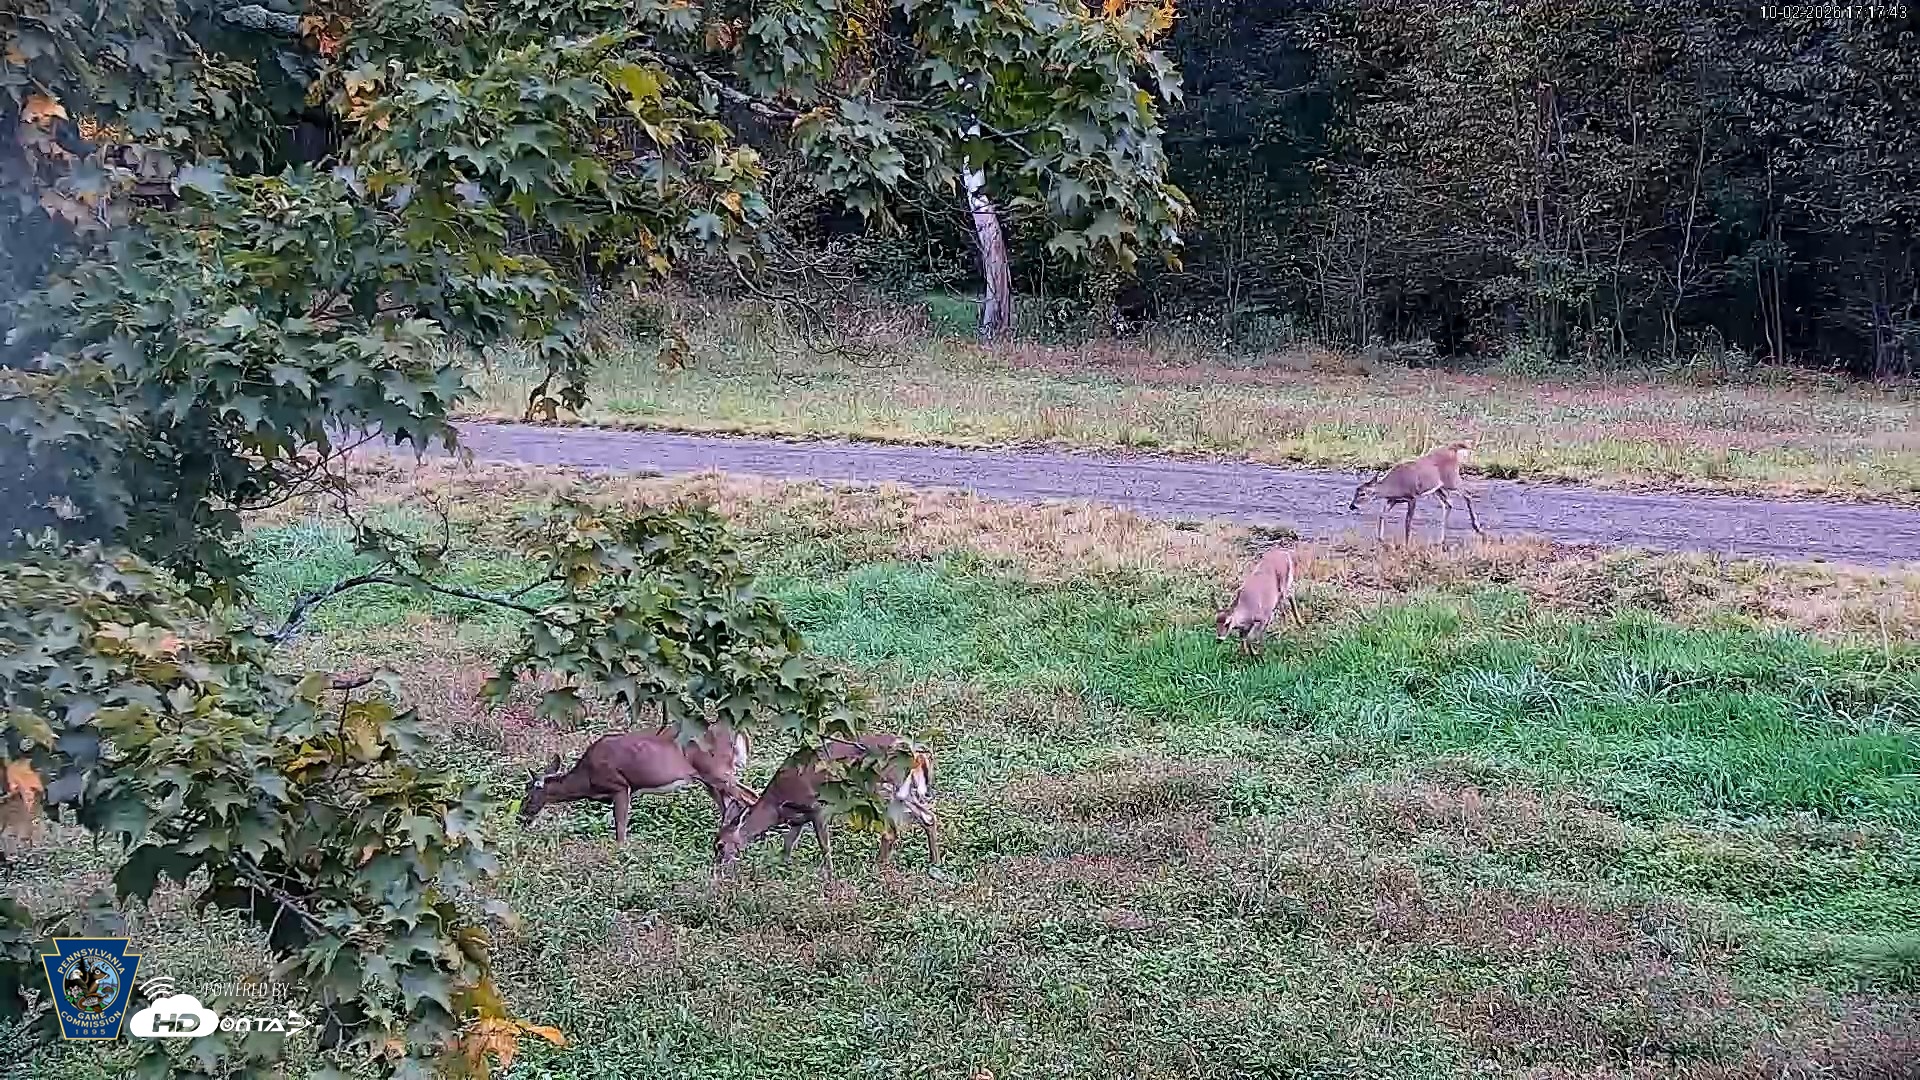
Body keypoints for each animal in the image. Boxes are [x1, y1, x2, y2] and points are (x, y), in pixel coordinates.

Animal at [518, 723, 757, 845]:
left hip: (717, 771)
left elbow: (621, 828)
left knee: (750, 797)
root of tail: (737, 733)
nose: (521, 817)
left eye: (527, 795)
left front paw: (621, 853)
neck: (587, 779)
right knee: (731, 806)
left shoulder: (620, 786)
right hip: (709, 779)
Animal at [713, 734, 938, 878]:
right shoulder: (798, 819)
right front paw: (782, 868)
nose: (717, 870)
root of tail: (917, 756)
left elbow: (825, 846)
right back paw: (934, 863)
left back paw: (878, 869)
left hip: (881, 791)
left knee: (890, 832)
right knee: (928, 817)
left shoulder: (818, 808)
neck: (776, 805)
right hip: (904, 794)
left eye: (720, 845)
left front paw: (829, 877)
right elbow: (788, 845)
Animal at [1348, 440, 1487, 545]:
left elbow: (1408, 521)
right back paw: (1441, 540)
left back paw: (1478, 528)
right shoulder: (1393, 499)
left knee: (1467, 494)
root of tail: (1452, 449)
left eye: (1362, 494)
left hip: (1451, 479)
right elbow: (1382, 514)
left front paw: (1407, 543)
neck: (1393, 486)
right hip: (1438, 488)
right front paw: (1380, 539)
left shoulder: (1412, 496)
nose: (1352, 506)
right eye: (1356, 491)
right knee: (1449, 503)